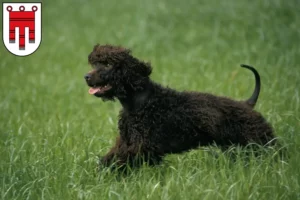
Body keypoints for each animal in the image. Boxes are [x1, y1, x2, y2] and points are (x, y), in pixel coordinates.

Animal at [84, 44, 274, 169]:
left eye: (108, 64)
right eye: (95, 64)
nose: (86, 76)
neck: (140, 102)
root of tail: (247, 104)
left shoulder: (143, 146)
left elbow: (121, 160)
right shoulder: (127, 141)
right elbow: (110, 158)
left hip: (259, 139)